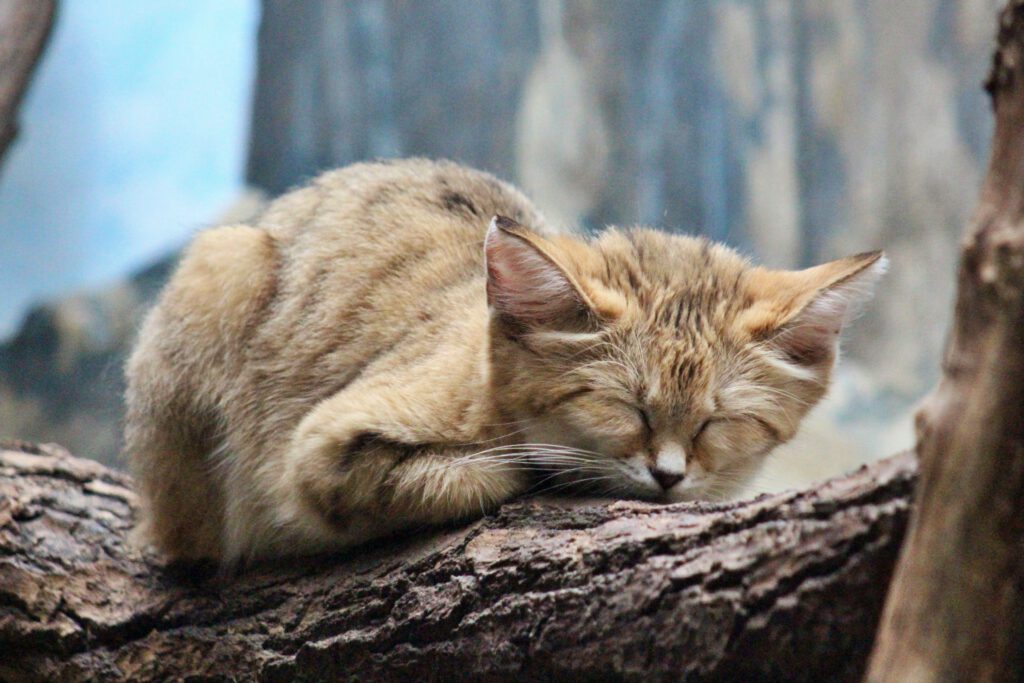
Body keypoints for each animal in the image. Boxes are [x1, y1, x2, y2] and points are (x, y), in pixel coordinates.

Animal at [123, 157, 884, 565]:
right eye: (625, 407)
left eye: (717, 422)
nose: (668, 474)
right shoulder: (316, 453)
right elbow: (480, 474)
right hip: (219, 271)